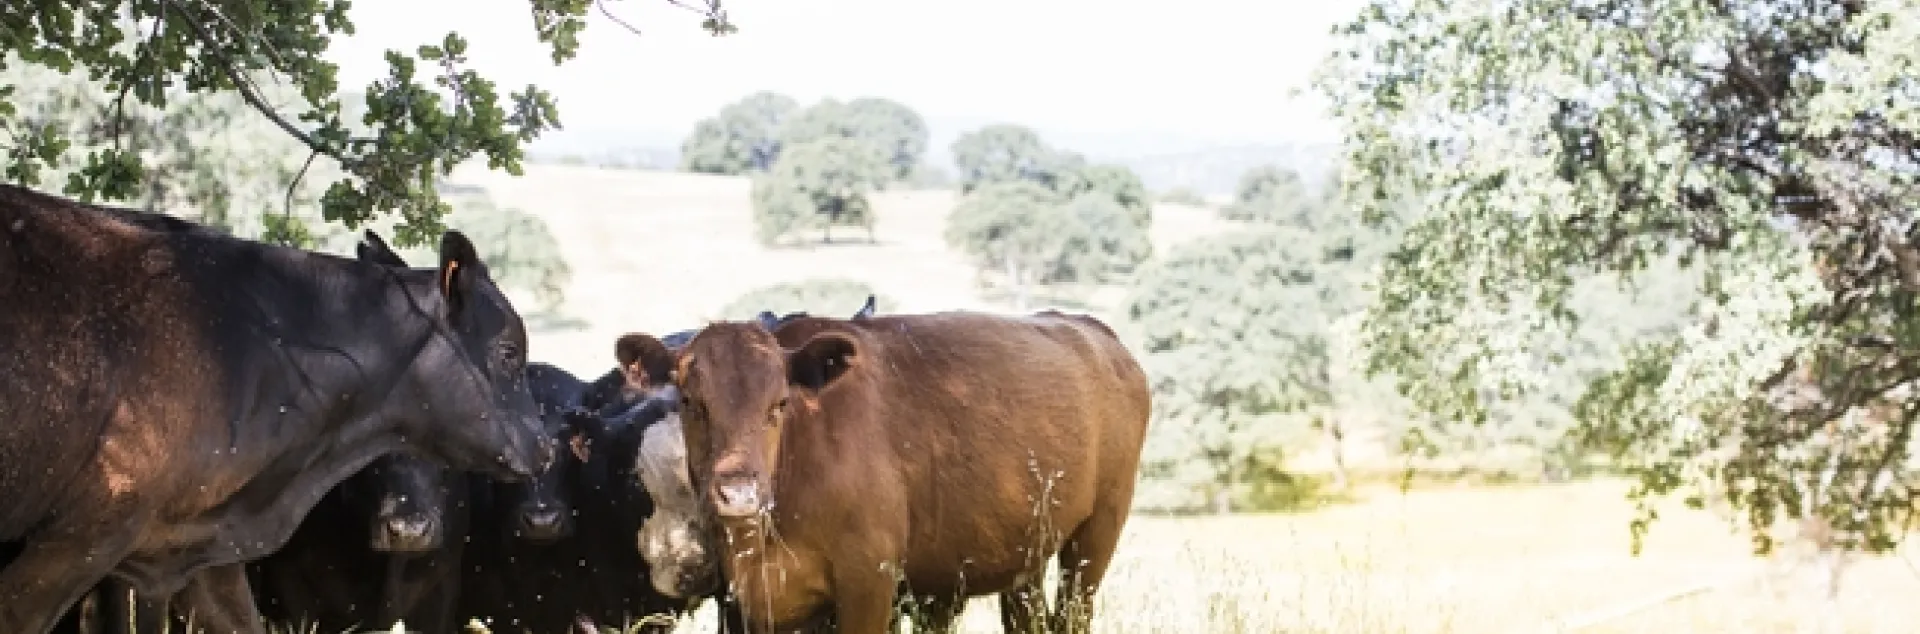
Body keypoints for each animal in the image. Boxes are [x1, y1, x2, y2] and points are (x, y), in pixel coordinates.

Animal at [622, 310, 1151, 634]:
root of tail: (1092, 329)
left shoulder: (868, 583)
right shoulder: (749, 601)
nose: (739, 492)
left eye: (780, 404)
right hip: (1026, 553)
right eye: (690, 402)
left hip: (1095, 538)